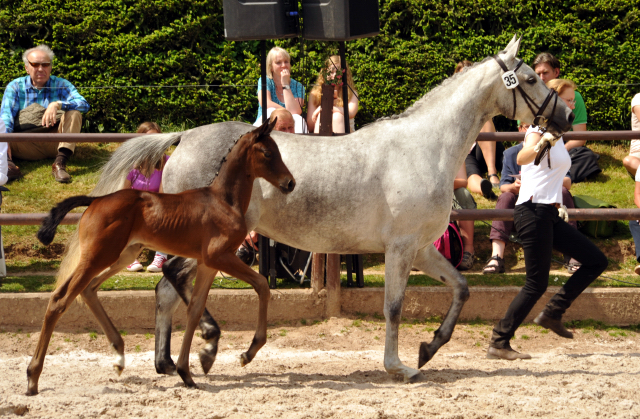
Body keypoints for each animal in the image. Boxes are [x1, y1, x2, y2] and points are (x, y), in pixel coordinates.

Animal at [25, 120, 296, 396]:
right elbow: (262, 284)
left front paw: (192, 368)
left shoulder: (207, 263)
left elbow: (195, 309)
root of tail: (95, 201)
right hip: (98, 256)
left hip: (122, 254)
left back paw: (119, 354)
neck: (223, 201)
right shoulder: (220, 257)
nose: (290, 183)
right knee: (60, 300)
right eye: (267, 153)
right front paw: (247, 352)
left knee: (88, 289)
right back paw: (33, 377)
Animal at [57, 37, 572, 386]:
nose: (565, 119)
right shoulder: (400, 250)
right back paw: (207, 348)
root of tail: (182, 139)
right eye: (530, 78)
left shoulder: (422, 248)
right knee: (172, 283)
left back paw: (168, 363)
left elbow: (461, 290)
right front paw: (399, 366)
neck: (424, 148)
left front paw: (428, 349)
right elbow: (394, 306)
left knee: (165, 290)